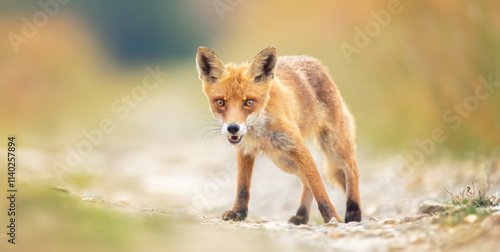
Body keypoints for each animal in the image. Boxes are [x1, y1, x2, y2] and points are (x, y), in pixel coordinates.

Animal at [194, 46, 360, 223]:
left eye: (249, 102)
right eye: (220, 102)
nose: (233, 128)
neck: (259, 130)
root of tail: (319, 65)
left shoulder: (298, 147)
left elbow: (320, 190)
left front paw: (332, 219)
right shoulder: (245, 149)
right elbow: (242, 188)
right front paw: (238, 213)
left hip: (332, 148)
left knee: (352, 169)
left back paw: (354, 212)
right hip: (283, 160)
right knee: (305, 181)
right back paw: (301, 215)